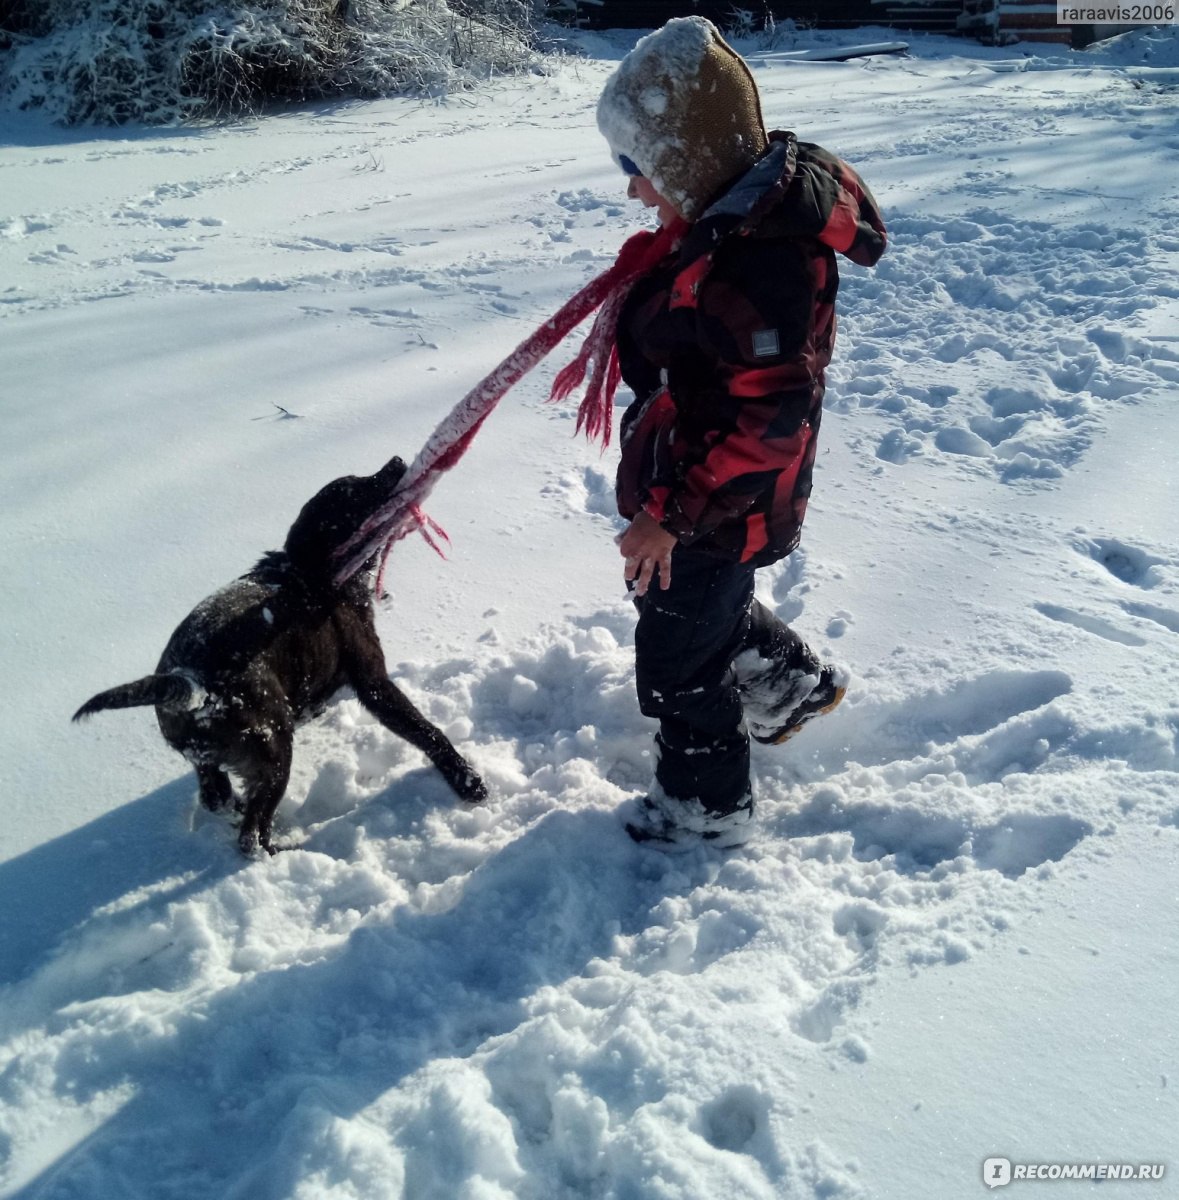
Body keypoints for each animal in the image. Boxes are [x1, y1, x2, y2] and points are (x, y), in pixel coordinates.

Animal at [71, 451, 487, 854]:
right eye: (353, 492)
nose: (398, 461)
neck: (316, 573)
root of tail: (190, 684)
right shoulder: (373, 683)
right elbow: (428, 732)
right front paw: (468, 782)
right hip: (274, 751)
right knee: (251, 835)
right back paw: (284, 849)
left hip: (212, 760)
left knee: (218, 798)